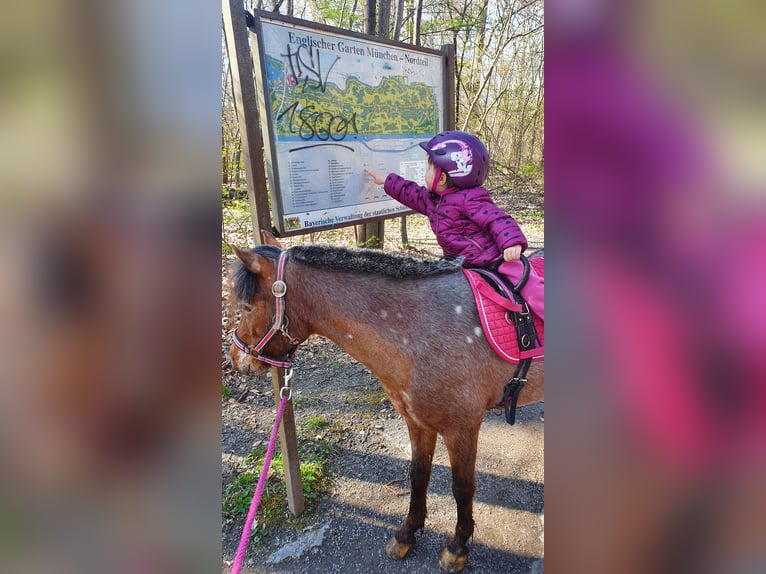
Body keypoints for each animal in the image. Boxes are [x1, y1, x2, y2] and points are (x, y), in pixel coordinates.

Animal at [230, 233, 544, 572]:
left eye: (247, 307)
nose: (235, 359)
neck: (420, 330)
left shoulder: (462, 429)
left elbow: (462, 488)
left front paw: (457, 547)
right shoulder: (417, 422)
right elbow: (418, 475)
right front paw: (407, 533)